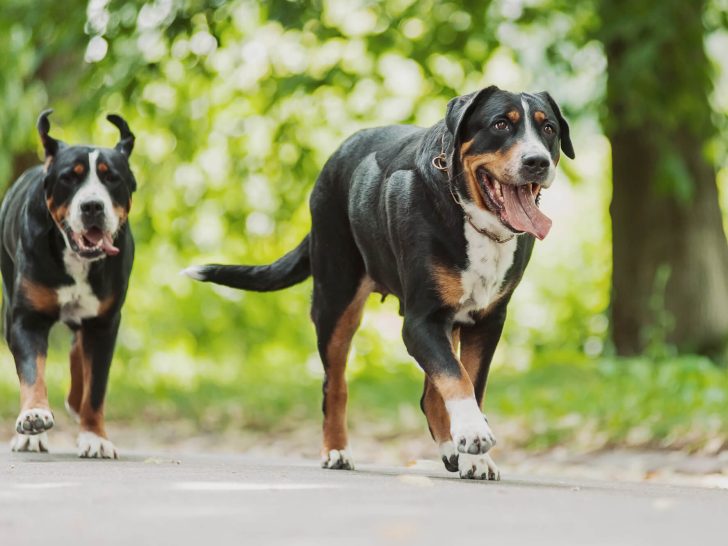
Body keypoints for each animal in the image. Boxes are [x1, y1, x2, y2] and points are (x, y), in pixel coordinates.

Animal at [1, 109, 138, 454]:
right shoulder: (26, 319)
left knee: (79, 349)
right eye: (69, 177)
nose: (92, 206)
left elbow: (96, 387)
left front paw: (95, 436)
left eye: (111, 177)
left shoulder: (105, 323)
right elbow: (32, 372)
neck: (78, 259)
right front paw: (33, 417)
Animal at [186, 84, 576, 476]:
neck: (470, 216)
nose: (537, 161)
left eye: (548, 128)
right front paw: (472, 434)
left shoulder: (487, 321)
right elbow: (455, 376)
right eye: (500, 124)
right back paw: (336, 451)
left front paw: (475, 455)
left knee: (428, 394)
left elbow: (469, 380)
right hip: (336, 301)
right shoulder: (420, 320)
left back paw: (449, 449)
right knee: (334, 385)